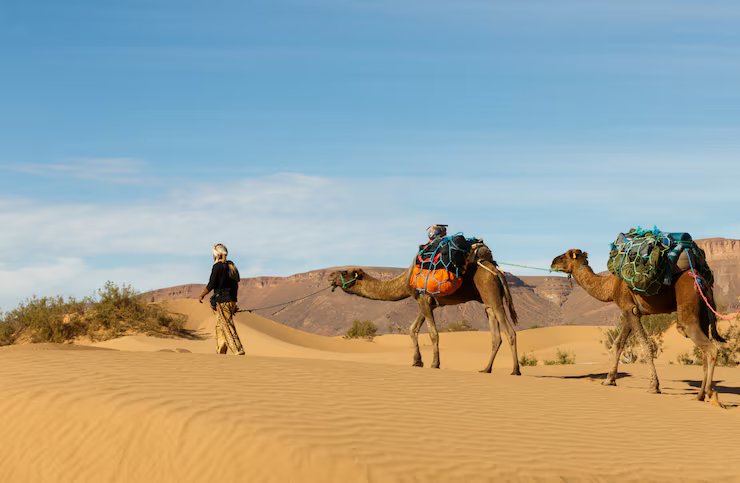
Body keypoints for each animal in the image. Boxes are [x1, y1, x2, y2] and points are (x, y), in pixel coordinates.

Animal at [328, 246, 521, 374]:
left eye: (344, 272)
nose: (330, 276)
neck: (406, 280)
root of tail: (498, 272)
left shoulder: (424, 299)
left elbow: (433, 333)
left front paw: (435, 364)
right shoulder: (427, 302)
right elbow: (412, 329)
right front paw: (417, 361)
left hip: (492, 293)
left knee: (510, 332)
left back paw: (515, 370)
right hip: (487, 300)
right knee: (495, 336)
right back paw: (486, 369)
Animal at [551, 249, 725, 401]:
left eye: (565, 256)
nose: (552, 262)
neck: (610, 286)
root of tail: (701, 281)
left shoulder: (628, 308)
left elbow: (645, 345)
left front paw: (654, 386)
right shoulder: (632, 311)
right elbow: (618, 344)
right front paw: (609, 380)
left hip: (687, 305)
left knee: (708, 346)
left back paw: (709, 393)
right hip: (702, 311)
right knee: (704, 349)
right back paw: (699, 395)